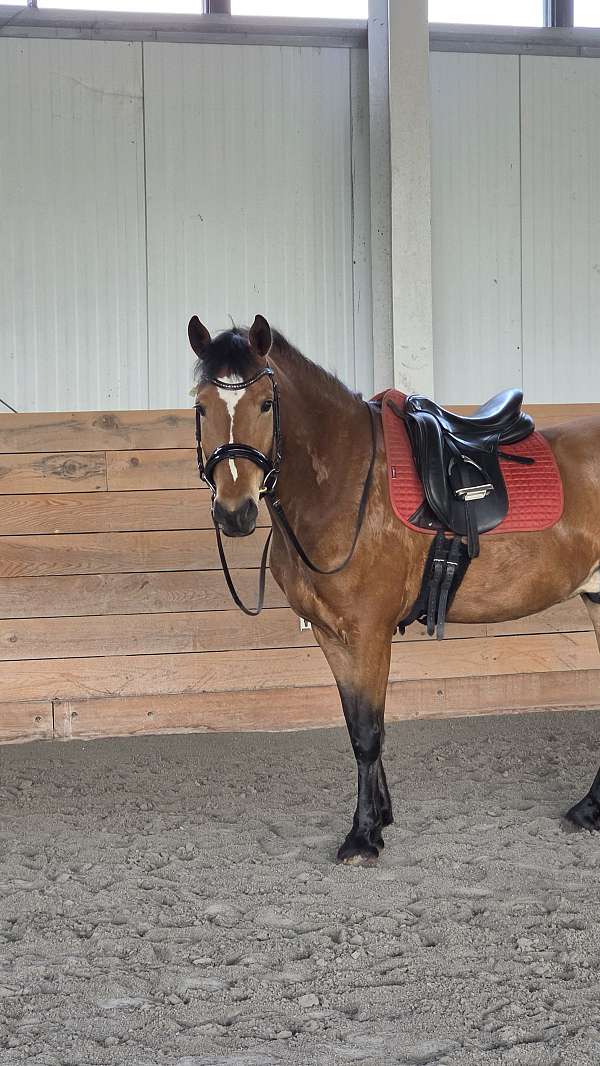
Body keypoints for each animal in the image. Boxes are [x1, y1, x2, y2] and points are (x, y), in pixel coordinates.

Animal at [188, 312, 600, 865]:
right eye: (201, 406)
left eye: (265, 404)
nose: (235, 513)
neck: (342, 485)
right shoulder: (333, 635)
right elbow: (357, 726)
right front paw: (379, 817)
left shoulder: (368, 632)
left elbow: (369, 733)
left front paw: (363, 835)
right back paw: (588, 810)